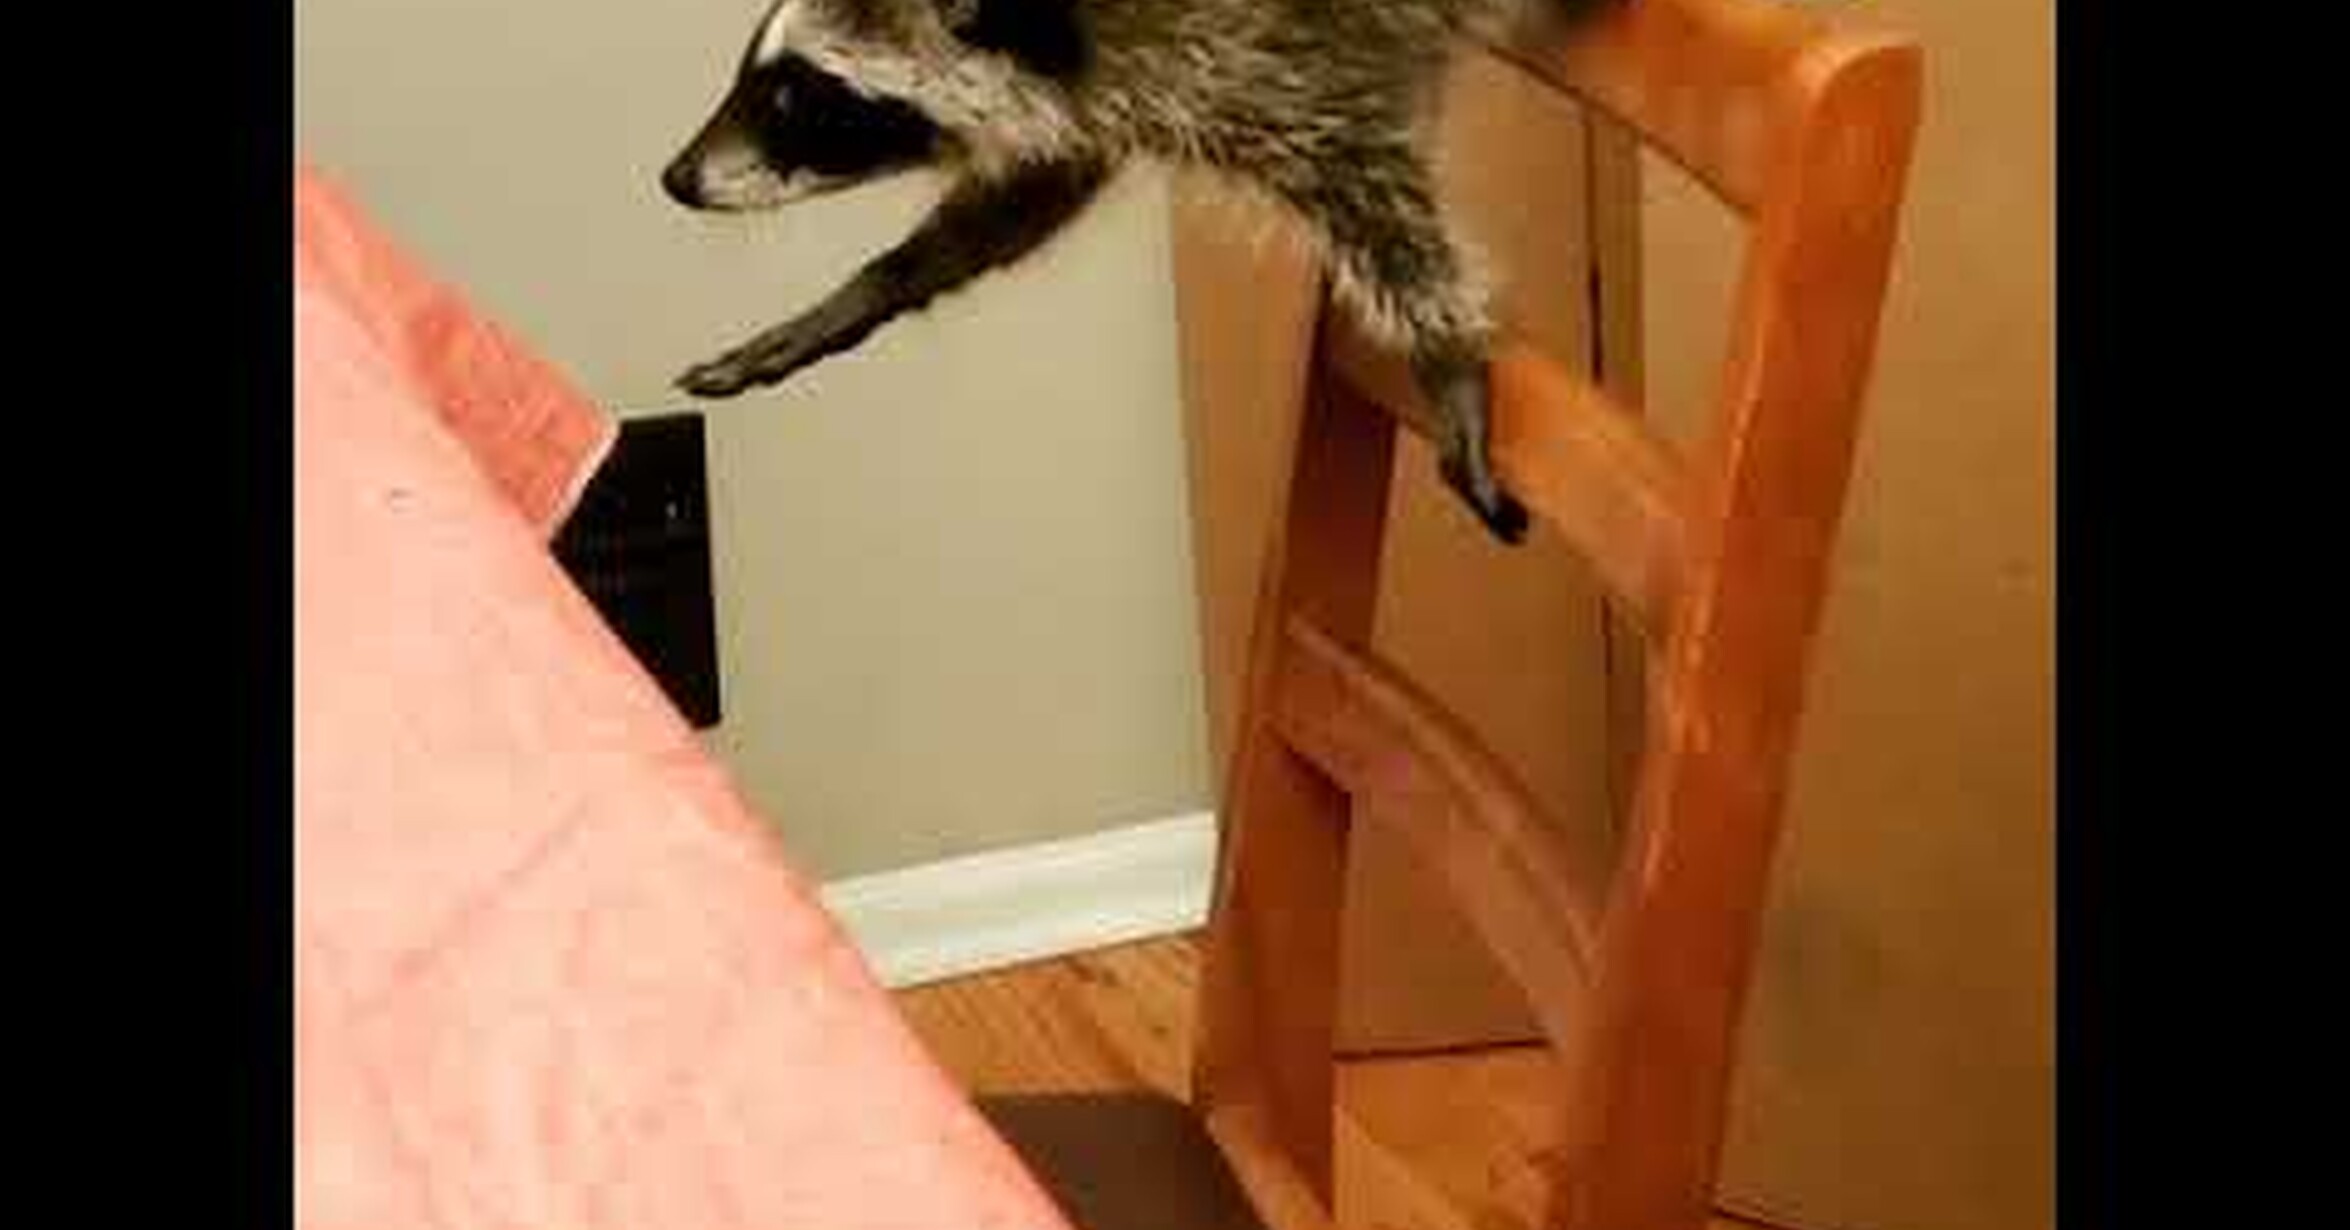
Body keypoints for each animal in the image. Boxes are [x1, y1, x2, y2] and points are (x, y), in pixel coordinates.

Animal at [662, 0, 1600, 543]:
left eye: (797, 96)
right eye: (752, 72)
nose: (675, 178)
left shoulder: (1270, 61)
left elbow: (1382, 211)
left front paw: (1449, 361)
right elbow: (1035, 188)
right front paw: (869, 288)